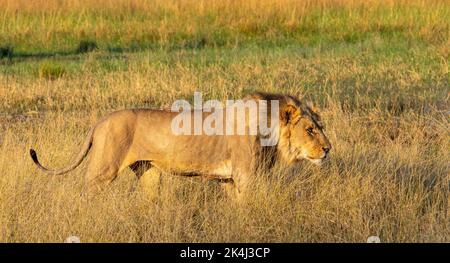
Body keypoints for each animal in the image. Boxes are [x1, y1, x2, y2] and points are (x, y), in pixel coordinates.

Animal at [28, 92, 330, 199]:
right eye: (310, 130)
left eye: (321, 127)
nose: (328, 149)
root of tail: (100, 121)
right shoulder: (246, 177)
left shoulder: (229, 179)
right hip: (104, 168)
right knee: (85, 192)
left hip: (148, 172)